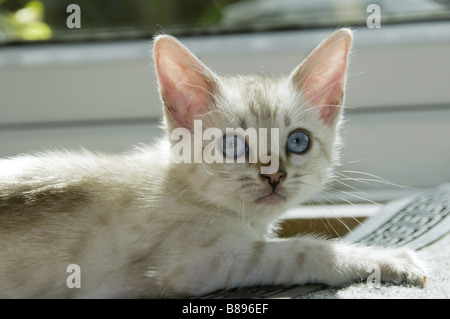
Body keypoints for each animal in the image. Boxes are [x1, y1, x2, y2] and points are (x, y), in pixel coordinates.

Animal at [0, 28, 426, 298]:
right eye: (234, 146)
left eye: (298, 141)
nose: (274, 175)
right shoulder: (191, 264)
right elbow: (298, 251)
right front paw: (387, 259)